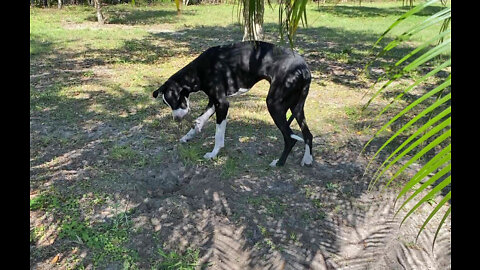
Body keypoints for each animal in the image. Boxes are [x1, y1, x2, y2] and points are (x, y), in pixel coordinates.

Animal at [152, 41, 314, 167]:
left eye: (175, 101)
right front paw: (188, 136)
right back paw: (307, 159)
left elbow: (218, 134)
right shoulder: (213, 102)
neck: (199, 71)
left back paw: (279, 163)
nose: (176, 119)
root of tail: (304, 68)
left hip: (274, 105)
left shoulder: (222, 104)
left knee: (290, 138)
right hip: (296, 108)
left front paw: (213, 154)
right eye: (167, 104)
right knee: (308, 134)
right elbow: (198, 121)